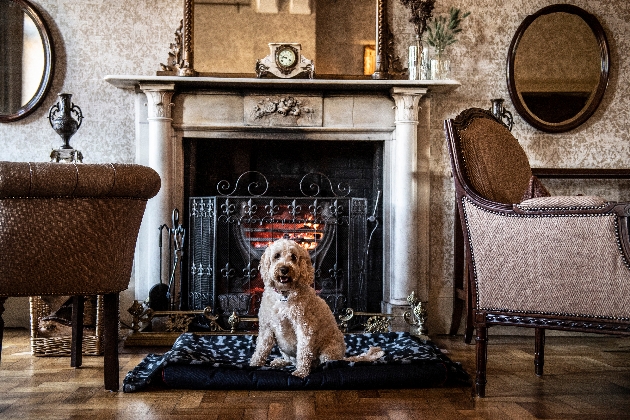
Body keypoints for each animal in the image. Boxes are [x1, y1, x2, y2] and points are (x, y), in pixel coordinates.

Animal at [249, 238, 382, 378]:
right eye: (277, 256)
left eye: (293, 257)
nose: (284, 269)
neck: (284, 294)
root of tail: (342, 357)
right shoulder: (266, 328)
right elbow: (261, 349)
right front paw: (254, 364)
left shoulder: (304, 328)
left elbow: (303, 351)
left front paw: (301, 372)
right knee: (291, 360)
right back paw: (280, 362)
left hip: (328, 350)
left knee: (322, 362)